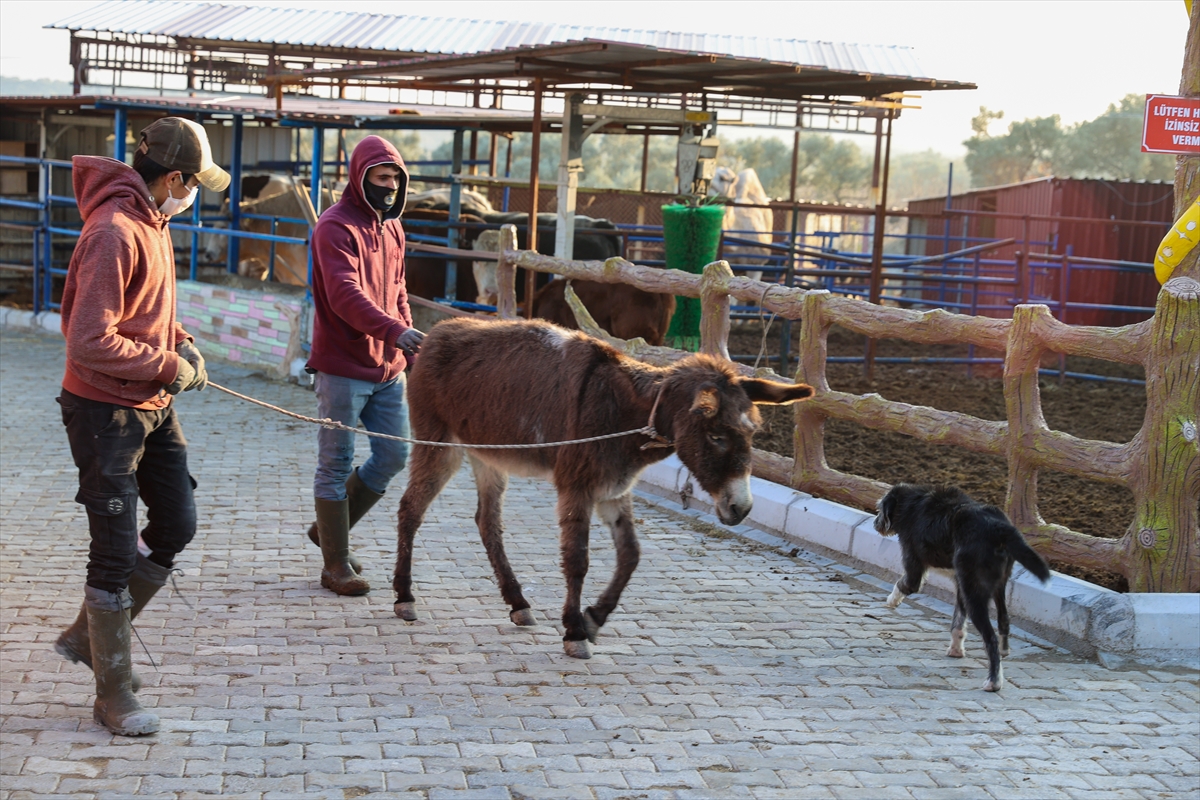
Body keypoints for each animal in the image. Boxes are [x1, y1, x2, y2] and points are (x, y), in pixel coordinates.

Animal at [393, 316, 816, 662]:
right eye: (716, 436)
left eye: (752, 433)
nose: (741, 508)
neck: (623, 412)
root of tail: (434, 333)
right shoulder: (576, 486)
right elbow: (577, 559)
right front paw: (574, 631)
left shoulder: (613, 488)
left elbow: (630, 554)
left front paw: (595, 617)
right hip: (440, 445)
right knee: (410, 508)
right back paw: (404, 597)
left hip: (489, 455)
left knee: (487, 521)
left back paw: (518, 603)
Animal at [873, 484, 1051, 690]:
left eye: (880, 510)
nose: (875, 524)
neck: (912, 503)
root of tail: (998, 527)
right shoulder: (961, 583)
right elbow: (958, 622)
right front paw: (956, 650)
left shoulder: (914, 570)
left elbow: (902, 584)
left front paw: (891, 601)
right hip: (994, 586)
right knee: (1004, 619)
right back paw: (1004, 650)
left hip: (975, 597)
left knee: (990, 638)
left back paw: (994, 681)